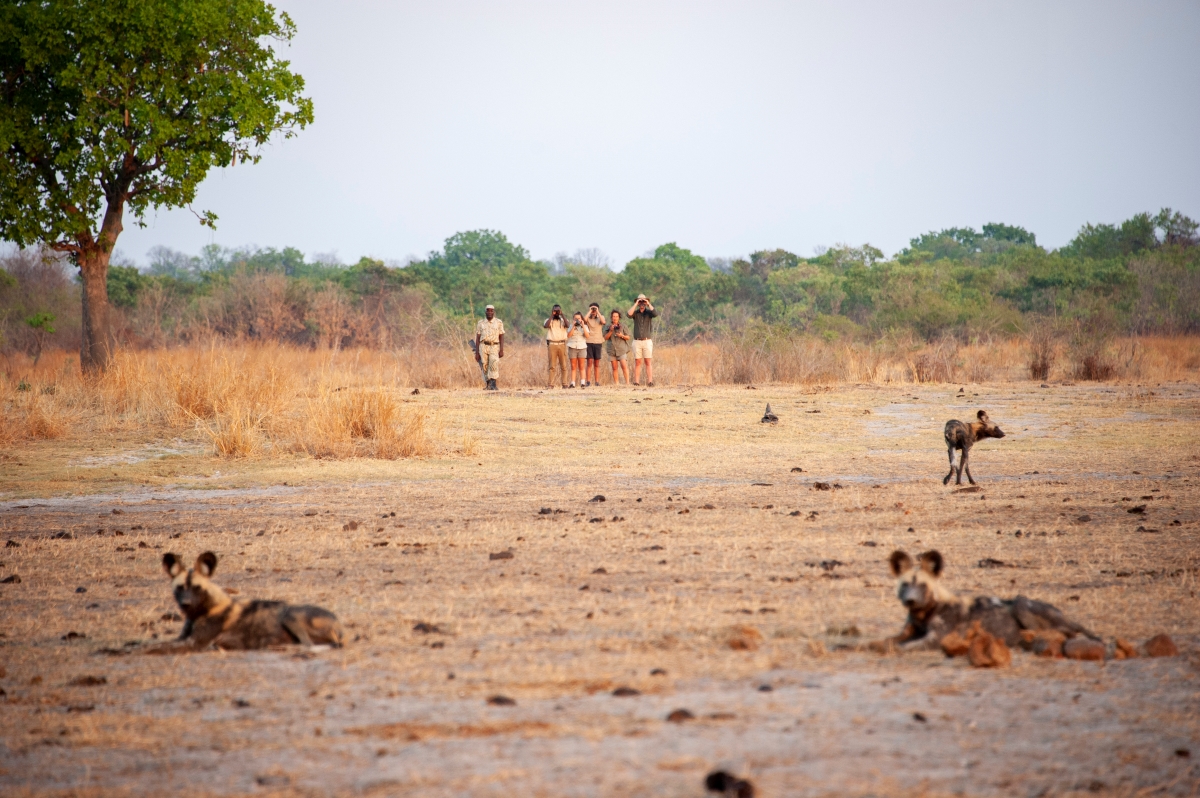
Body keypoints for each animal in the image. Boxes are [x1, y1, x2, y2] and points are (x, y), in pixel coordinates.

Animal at [146, 552, 343, 652]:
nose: (185, 604)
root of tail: (338, 625)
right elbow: (151, 644)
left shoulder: (194, 643)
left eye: (197, 588)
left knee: (307, 645)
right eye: (179, 588)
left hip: (290, 615)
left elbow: (154, 648)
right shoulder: (184, 639)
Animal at [873, 547, 1099, 652]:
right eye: (904, 585)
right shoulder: (906, 633)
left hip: (1021, 604)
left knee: (1059, 633)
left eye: (922, 586)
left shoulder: (936, 639)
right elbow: (884, 642)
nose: (910, 601)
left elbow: (901, 647)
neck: (923, 615)